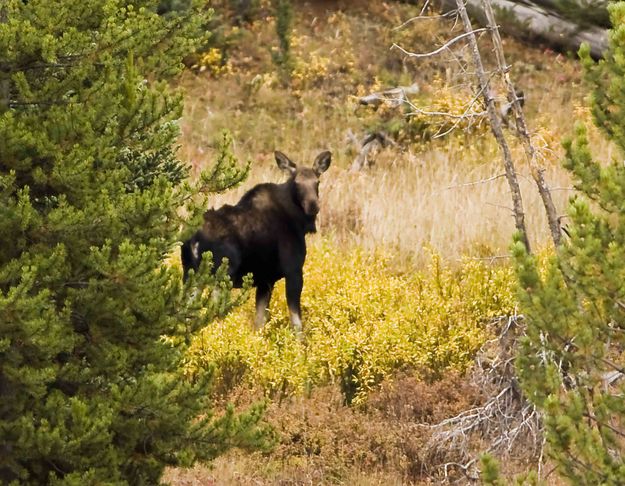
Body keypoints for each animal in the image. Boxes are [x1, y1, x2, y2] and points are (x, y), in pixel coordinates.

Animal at [180, 150, 332, 336]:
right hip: (220, 276)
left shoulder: (266, 280)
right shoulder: (293, 271)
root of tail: (193, 238)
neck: (299, 223)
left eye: (317, 181)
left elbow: (259, 322)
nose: (313, 206)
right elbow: (296, 323)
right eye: (297, 183)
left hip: (190, 275)